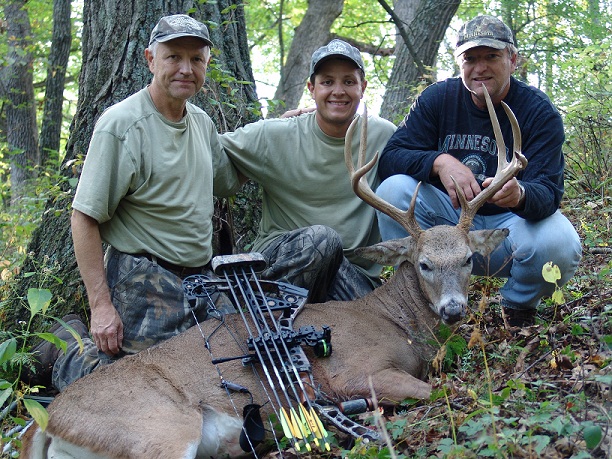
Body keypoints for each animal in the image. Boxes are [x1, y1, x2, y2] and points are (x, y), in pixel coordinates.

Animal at [19, 87, 524, 459]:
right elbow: (436, 389)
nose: (454, 308)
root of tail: (44, 425)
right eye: (423, 264)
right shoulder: (356, 374)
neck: (398, 323)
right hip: (158, 430)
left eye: (468, 259)